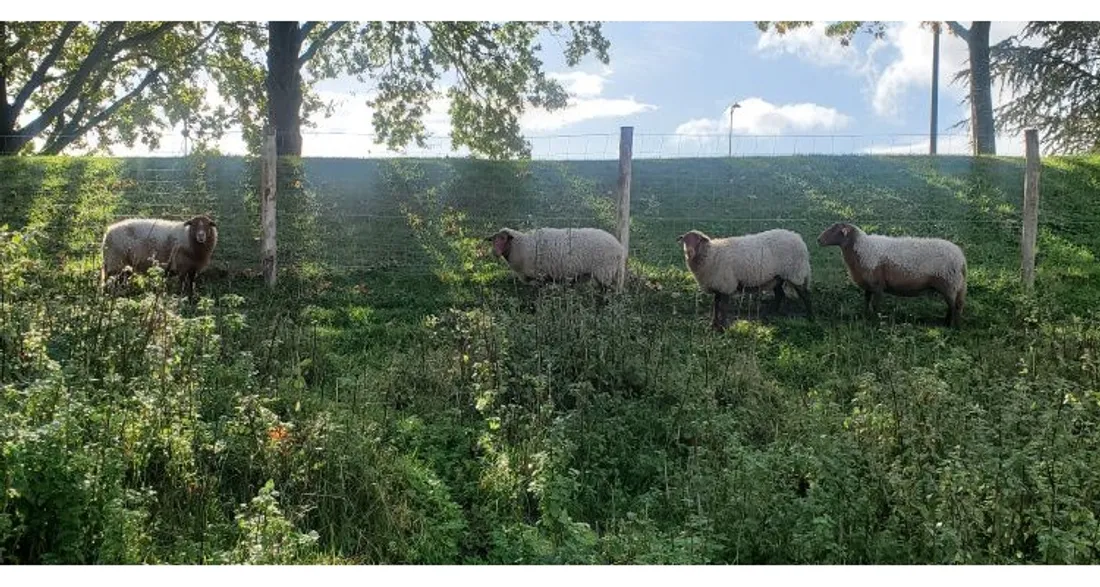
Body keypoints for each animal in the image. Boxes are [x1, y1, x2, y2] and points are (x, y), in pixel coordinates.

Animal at [487, 227, 625, 289]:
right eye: (493, 240)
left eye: (503, 238)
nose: (494, 252)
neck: (521, 245)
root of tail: (620, 247)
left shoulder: (540, 275)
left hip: (605, 271)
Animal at [677, 228, 813, 330]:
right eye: (685, 241)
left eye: (698, 240)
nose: (689, 252)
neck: (711, 254)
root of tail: (798, 238)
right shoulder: (717, 285)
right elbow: (716, 305)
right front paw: (713, 325)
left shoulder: (726, 284)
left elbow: (723, 307)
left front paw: (722, 327)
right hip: (777, 277)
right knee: (780, 295)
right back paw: (771, 314)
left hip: (795, 273)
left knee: (806, 295)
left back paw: (810, 317)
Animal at [816, 222, 967, 328]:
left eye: (835, 230)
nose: (818, 240)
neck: (861, 248)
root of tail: (961, 258)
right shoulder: (868, 284)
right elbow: (866, 300)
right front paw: (865, 316)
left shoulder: (877, 284)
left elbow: (875, 304)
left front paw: (874, 321)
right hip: (954, 286)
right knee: (954, 305)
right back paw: (948, 323)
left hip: (949, 284)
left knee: (954, 306)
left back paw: (951, 326)